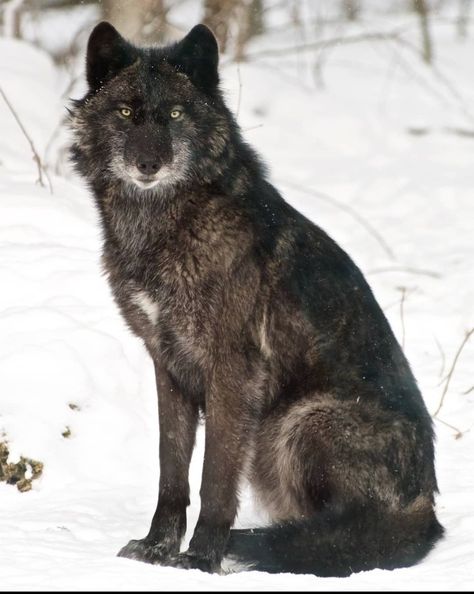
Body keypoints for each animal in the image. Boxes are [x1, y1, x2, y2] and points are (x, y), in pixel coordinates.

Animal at [70, 20, 444, 572]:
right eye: (126, 112)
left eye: (176, 114)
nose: (148, 164)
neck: (166, 227)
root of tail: (426, 510)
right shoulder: (167, 364)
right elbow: (171, 473)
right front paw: (157, 548)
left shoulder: (234, 370)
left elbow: (215, 480)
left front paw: (201, 557)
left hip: (301, 421)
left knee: (357, 534)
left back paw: (265, 544)